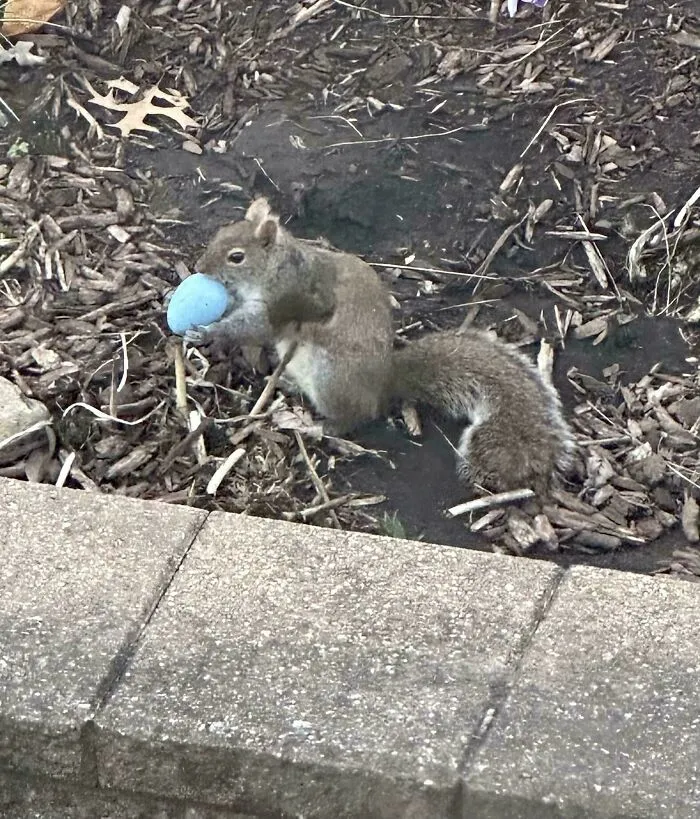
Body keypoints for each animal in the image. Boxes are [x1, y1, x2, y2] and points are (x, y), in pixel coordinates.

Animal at [187, 197, 575, 495]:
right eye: (219, 234)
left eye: (237, 257)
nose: (198, 267)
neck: (278, 266)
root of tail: (386, 381)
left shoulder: (285, 302)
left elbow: (253, 327)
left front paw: (206, 332)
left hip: (332, 378)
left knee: (355, 417)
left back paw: (315, 426)